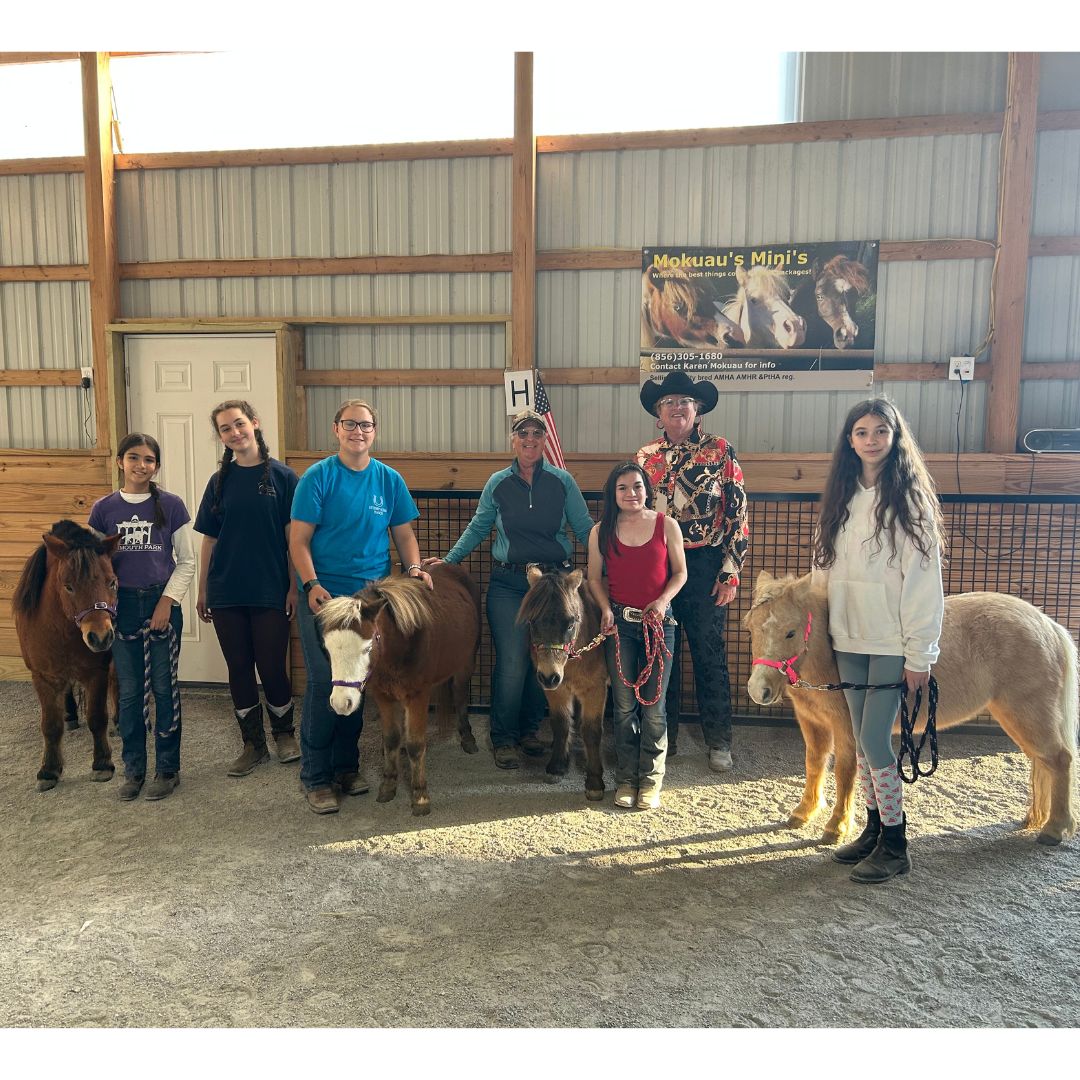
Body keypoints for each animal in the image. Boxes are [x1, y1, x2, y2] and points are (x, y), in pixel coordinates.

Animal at [13, 520, 121, 791]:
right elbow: (50, 726)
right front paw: (48, 770)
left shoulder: (96, 672)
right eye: (68, 586)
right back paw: (70, 714)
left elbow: (97, 718)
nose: (100, 637)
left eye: (112, 582)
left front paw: (102, 763)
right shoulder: (43, 676)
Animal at [318, 563, 480, 816]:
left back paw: (467, 737)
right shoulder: (383, 695)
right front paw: (388, 785)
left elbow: (416, 745)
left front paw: (420, 796)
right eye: (327, 649)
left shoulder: (418, 696)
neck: (402, 642)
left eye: (368, 647)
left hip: (466, 663)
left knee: (461, 695)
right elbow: (391, 739)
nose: (342, 703)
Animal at [517, 567, 609, 801]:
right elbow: (561, 724)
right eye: (532, 622)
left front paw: (594, 780)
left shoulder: (595, 690)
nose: (549, 676)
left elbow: (592, 730)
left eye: (570, 623)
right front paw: (558, 766)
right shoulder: (557, 691)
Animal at [745, 571, 1079, 846]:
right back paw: (1035, 819)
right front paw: (804, 812)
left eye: (790, 632)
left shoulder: (847, 728)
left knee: (1059, 759)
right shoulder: (812, 723)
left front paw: (836, 827)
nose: (759, 690)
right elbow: (814, 764)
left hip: (1028, 713)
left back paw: (1054, 829)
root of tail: (1047, 625)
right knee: (1042, 761)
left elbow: (844, 771)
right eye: (750, 628)